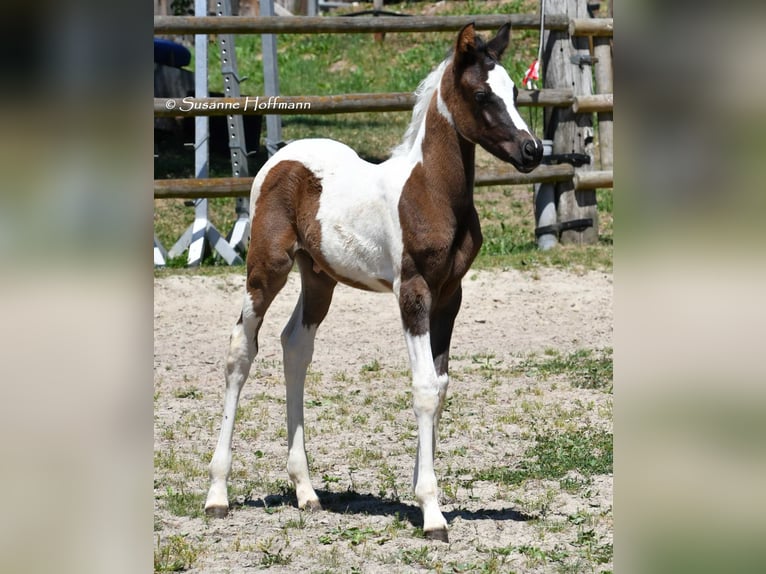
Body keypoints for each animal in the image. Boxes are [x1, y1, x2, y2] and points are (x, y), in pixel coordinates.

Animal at [203, 22, 543, 542]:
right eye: (483, 94)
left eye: (517, 92)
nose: (532, 151)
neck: (432, 191)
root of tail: (280, 159)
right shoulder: (414, 291)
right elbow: (423, 386)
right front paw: (432, 514)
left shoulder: (451, 295)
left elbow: (440, 386)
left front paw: (424, 490)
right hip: (266, 269)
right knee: (242, 348)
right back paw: (217, 494)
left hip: (319, 277)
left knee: (295, 345)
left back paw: (306, 491)